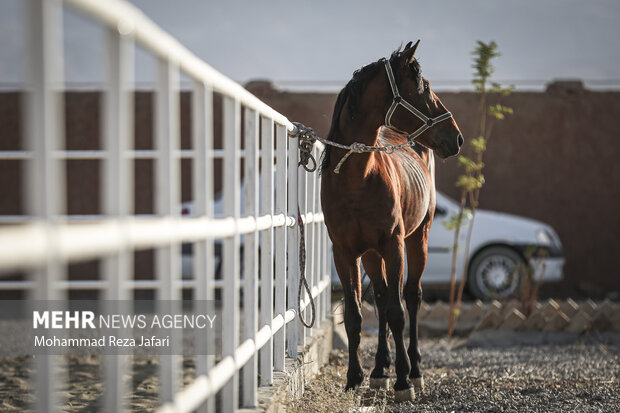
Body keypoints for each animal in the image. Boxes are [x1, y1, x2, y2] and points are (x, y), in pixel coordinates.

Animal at [322, 41, 462, 400]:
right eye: (422, 87)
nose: (457, 138)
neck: (358, 179)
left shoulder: (394, 244)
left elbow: (398, 313)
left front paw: (402, 381)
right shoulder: (344, 253)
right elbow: (356, 315)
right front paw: (354, 378)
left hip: (416, 240)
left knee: (411, 297)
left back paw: (413, 370)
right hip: (372, 255)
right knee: (384, 296)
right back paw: (378, 370)